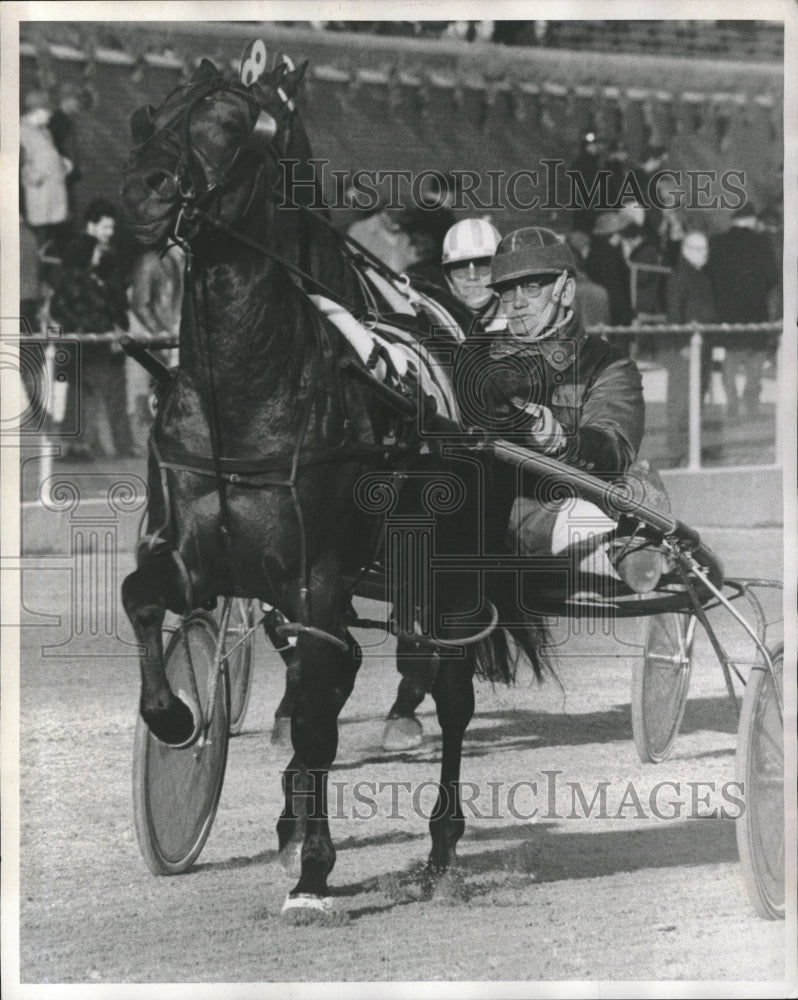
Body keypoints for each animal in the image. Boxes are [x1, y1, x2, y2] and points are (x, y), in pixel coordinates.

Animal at [122, 52, 552, 916]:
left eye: (229, 123)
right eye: (155, 113)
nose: (146, 188)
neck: (245, 392)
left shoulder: (314, 579)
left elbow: (322, 712)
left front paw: (314, 873)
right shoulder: (195, 558)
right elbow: (143, 600)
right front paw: (178, 721)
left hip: (450, 577)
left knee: (449, 691)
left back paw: (441, 848)